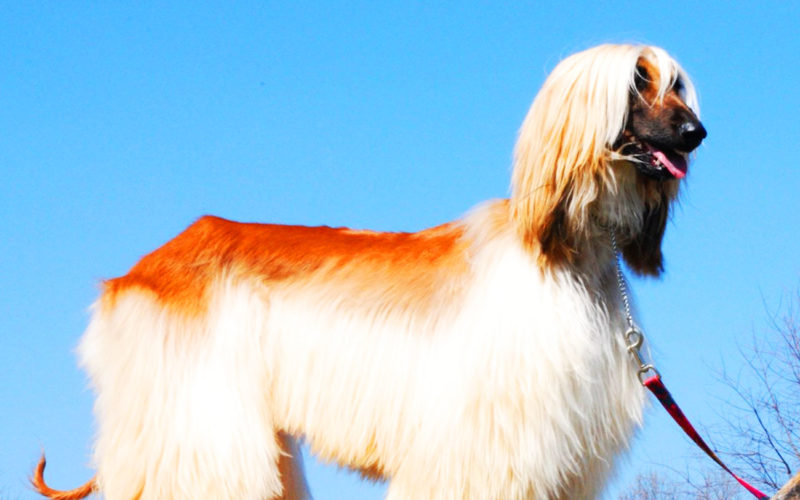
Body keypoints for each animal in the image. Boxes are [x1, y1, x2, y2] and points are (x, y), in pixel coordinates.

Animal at [32, 44, 708, 500]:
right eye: (637, 81)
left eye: (678, 85)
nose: (696, 132)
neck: (566, 252)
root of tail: (134, 275)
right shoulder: (483, 447)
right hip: (199, 422)